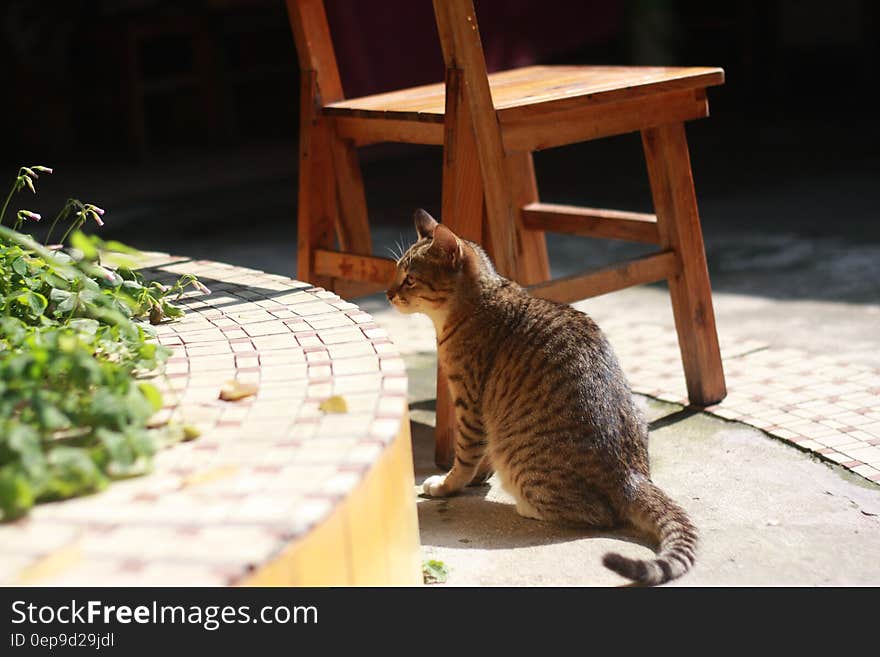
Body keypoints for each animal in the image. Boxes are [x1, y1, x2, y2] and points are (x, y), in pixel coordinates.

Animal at [388, 209, 696, 584]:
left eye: (410, 279)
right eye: (398, 273)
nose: (387, 294)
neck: (479, 300)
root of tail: (631, 477)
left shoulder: (469, 403)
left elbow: (464, 458)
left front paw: (448, 485)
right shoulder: (485, 415)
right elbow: (480, 456)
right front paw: (478, 477)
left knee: (598, 514)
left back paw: (527, 507)